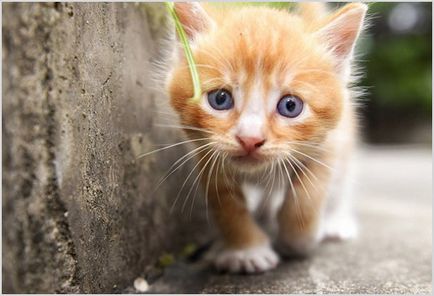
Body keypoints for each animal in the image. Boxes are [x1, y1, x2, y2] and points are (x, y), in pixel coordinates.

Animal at [164, 2, 368, 274]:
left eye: (290, 106)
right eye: (220, 99)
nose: (250, 139)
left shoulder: (328, 146)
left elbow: (308, 196)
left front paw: (298, 241)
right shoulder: (207, 154)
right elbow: (227, 206)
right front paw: (246, 251)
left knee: (342, 182)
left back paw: (336, 221)